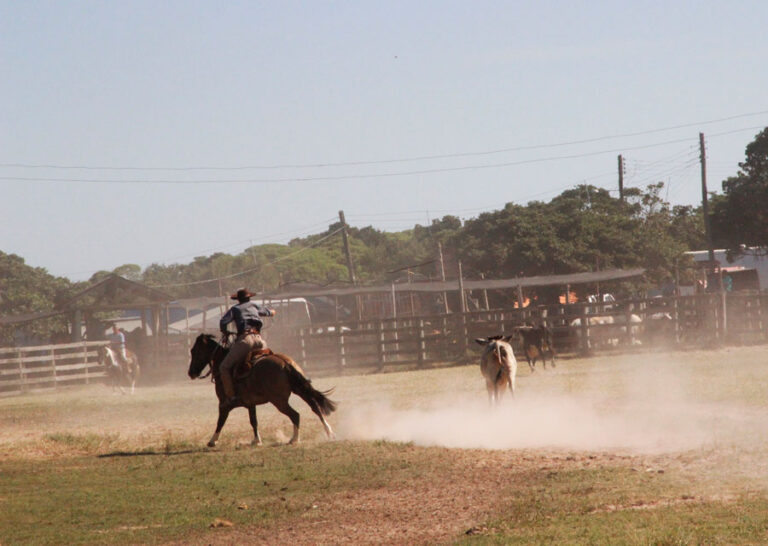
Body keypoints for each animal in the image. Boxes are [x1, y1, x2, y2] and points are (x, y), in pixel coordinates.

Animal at [187, 332, 336, 446]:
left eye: (194, 351)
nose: (191, 373)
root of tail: (285, 363)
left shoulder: (223, 404)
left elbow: (220, 421)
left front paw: (212, 441)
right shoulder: (250, 404)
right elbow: (254, 421)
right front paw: (256, 440)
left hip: (279, 401)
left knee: (295, 415)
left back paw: (294, 439)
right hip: (300, 390)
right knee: (315, 407)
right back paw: (329, 433)